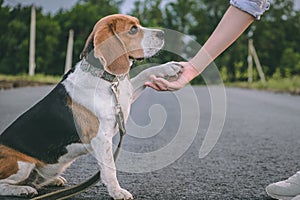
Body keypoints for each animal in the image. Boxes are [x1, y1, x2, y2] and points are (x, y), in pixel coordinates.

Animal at [0, 14, 180, 200]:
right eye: (132, 29)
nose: (162, 34)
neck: (104, 77)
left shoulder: (125, 96)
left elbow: (145, 73)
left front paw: (170, 67)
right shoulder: (100, 138)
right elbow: (109, 169)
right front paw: (117, 191)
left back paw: (51, 181)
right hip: (22, 164)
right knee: (4, 184)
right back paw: (23, 189)